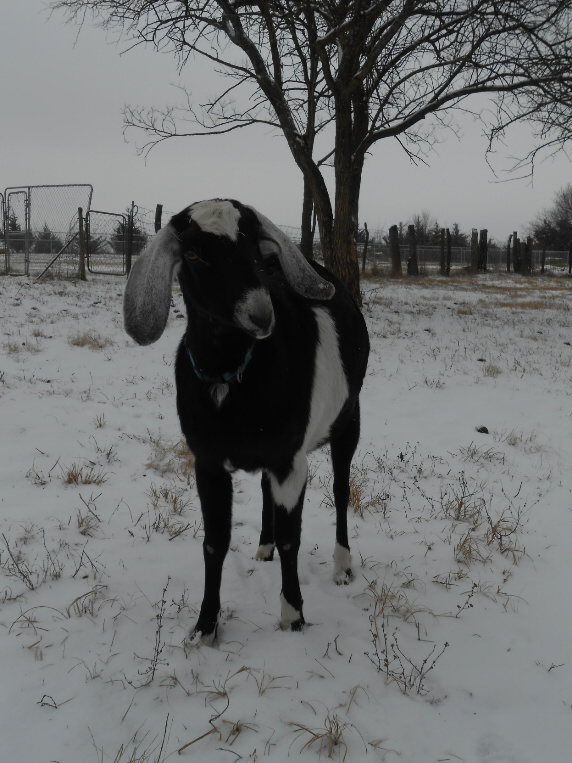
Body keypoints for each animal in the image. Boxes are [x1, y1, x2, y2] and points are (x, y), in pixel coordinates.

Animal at [123, 198, 368, 644]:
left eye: (258, 252)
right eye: (194, 254)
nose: (260, 315)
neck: (230, 377)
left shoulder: (291, 460)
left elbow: (292, 539)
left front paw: (293, 616)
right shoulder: (208, 462)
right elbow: (215, 542)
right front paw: (204, 627)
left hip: (349, 419)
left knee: (341, 490)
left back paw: (342, 565)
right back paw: (263, 547)